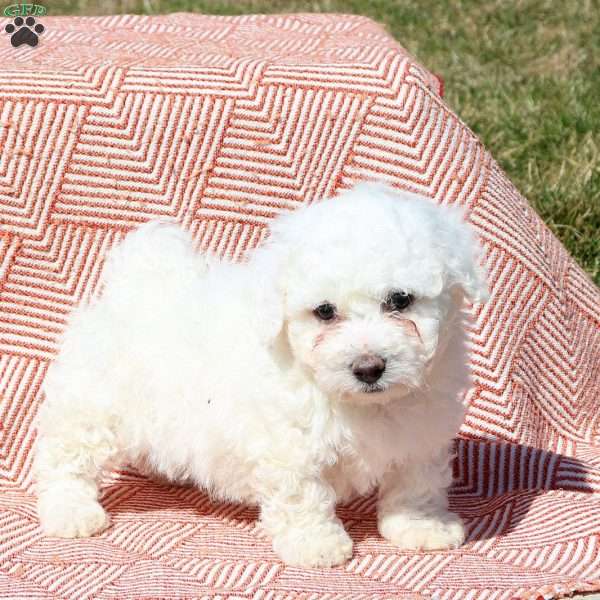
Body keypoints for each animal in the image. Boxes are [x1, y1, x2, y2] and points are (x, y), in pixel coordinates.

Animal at [34, 182, 488, 568]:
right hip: (92, 405)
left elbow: (416, 484)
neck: (362, 403)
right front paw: (316, 544)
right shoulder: (291, 445)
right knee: (65, 459)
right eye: (325, 311)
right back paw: (70, 511)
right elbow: (303, 494)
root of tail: (136, 282)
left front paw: (422, 527)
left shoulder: (422, 433)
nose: (368, 367)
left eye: (400, 300)